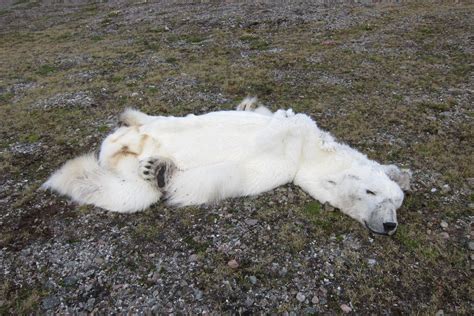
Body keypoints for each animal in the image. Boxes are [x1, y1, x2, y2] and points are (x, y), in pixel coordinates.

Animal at [42, 98, 410, 235]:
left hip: (127, 166)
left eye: (397, 203)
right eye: (372, 191)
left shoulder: (276, 169)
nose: (390, 225)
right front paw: (254, 107)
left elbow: (216, 179)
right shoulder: (296, 135)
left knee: (135, 187)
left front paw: (163, 173)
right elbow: (277, 119)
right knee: (149, 124)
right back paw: (132, 119)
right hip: (140, 132)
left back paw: (153, 169)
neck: (308, 154)